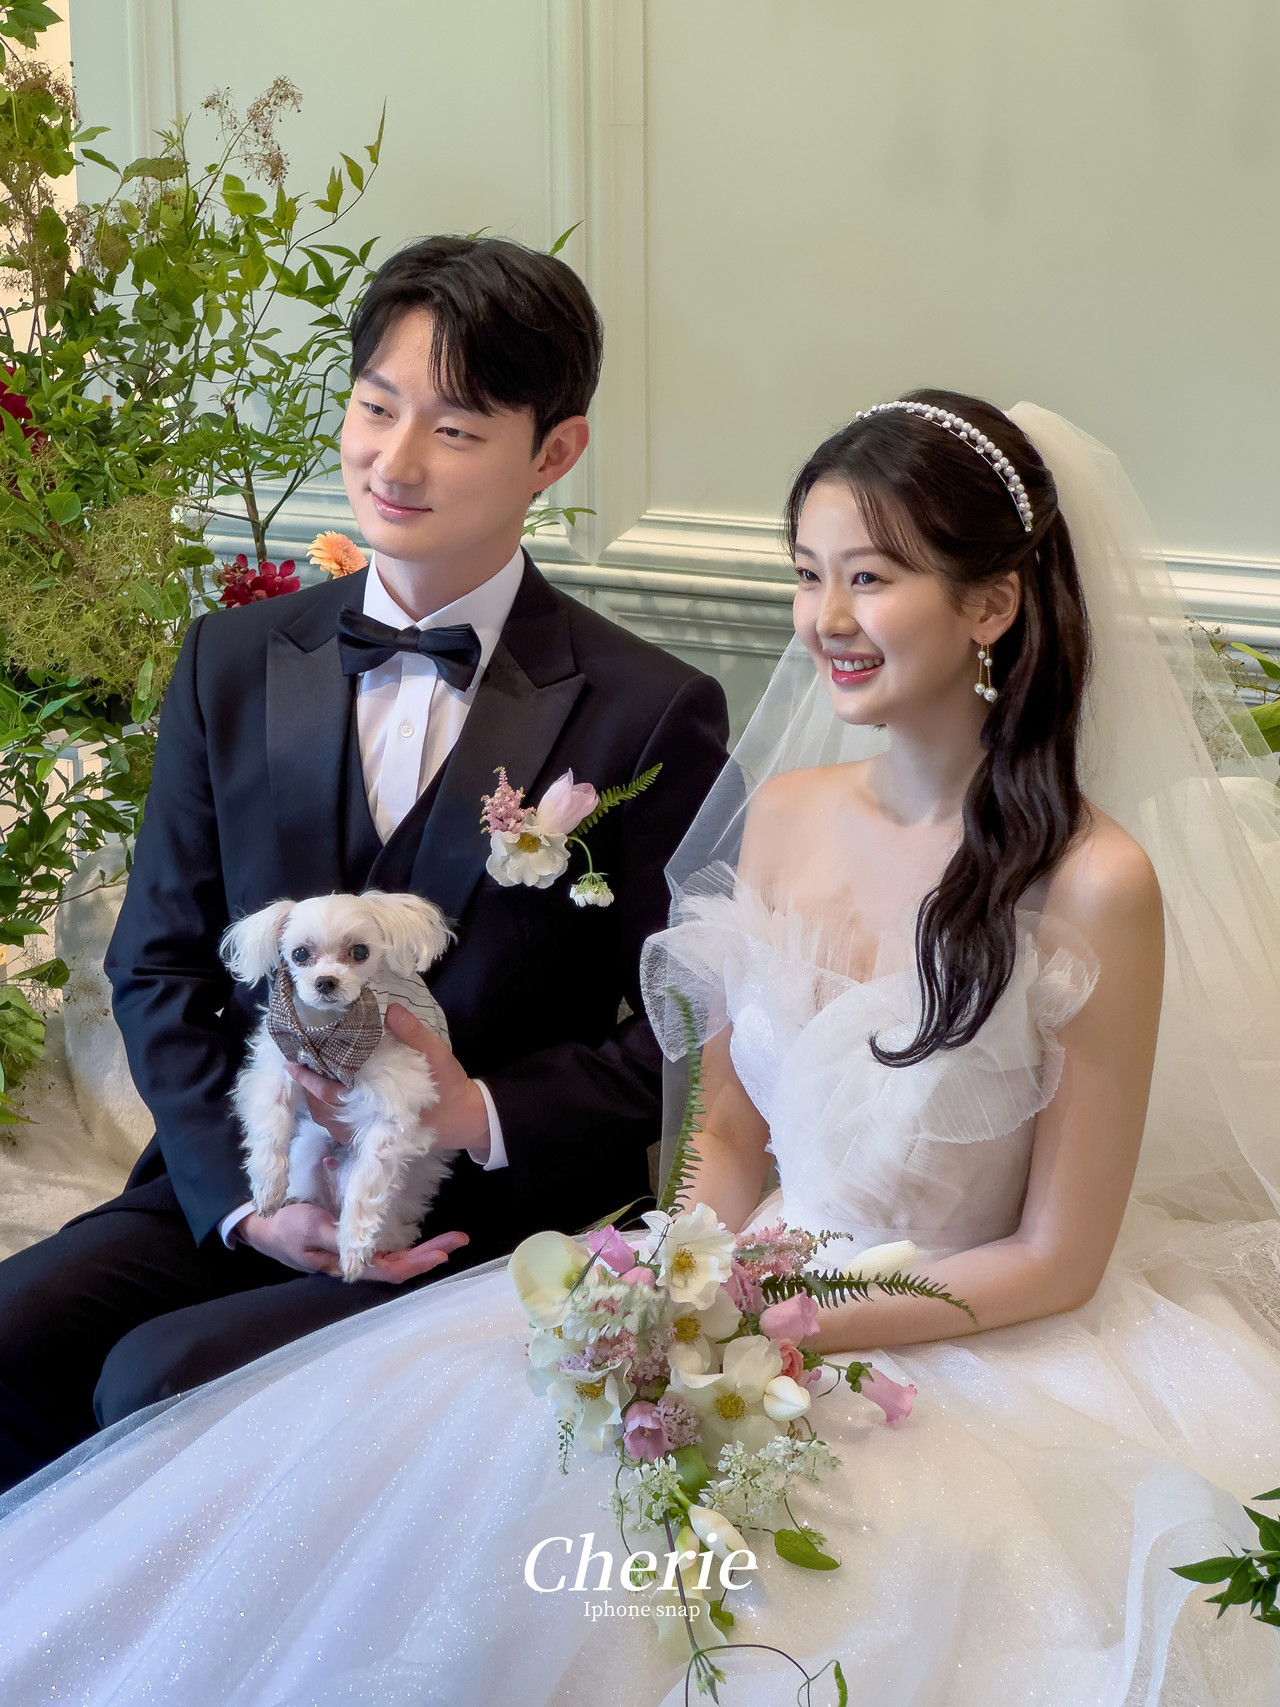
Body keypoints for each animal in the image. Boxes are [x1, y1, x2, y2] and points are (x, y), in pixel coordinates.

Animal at [220, 891, 454, 1281]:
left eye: (359, 952)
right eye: (300, 954)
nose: (325, 981)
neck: (330, 1028)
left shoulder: (393, 1104)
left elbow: (368, 1179)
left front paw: (353, 1246)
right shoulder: (279, 1064)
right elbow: (270, 1122)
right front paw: (268, 1187)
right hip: (311, 1150)